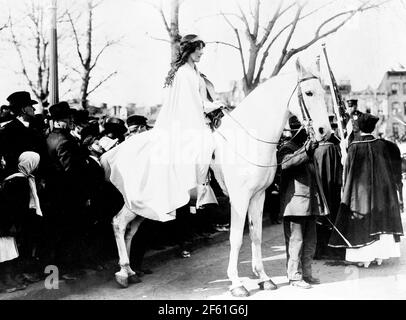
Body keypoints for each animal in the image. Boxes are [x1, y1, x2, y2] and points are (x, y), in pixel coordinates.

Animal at [109, 58, 332, 296]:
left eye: (324, 91)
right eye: (309, 92)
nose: (324, 131)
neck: (247, 139)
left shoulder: (258, 196)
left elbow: (256, 235)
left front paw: (263, 278)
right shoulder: (239, 199)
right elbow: (236, 238)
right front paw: (236, 283)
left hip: (146, 207)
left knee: (129, 230)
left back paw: (130, 272)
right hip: (137, 202)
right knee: (118, 224)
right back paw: (123, 273)